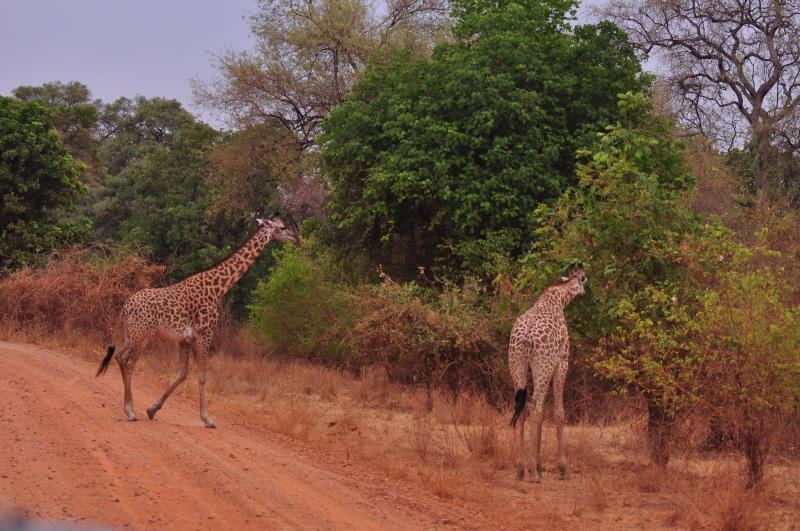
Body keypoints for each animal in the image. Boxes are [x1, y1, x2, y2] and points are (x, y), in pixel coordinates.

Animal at [96, 216, 301, 428]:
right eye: (283, 227)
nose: (297, 239)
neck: (217, 289)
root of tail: (126, 306)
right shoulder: (205, 333)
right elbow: (202, 375)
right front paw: (207, 419)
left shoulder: (185, 339)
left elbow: (183, 373)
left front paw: (153, 409)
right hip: (143, 334)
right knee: (129, 362)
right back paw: (130, 412)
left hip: (131, 334)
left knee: (120, 357)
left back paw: (130, 408)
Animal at [508, 263, 587, 482]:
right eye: (584, 278)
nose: (584, 292)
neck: (557, 299)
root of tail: (526, 340)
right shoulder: (562, 361)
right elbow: (558, 412)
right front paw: (562, 469)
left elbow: (543, 413)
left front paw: (540, 465)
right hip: (543, 366)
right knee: (534, 407)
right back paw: (532, 473)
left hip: (517, 368)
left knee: (523, 407)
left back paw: (520, 469)